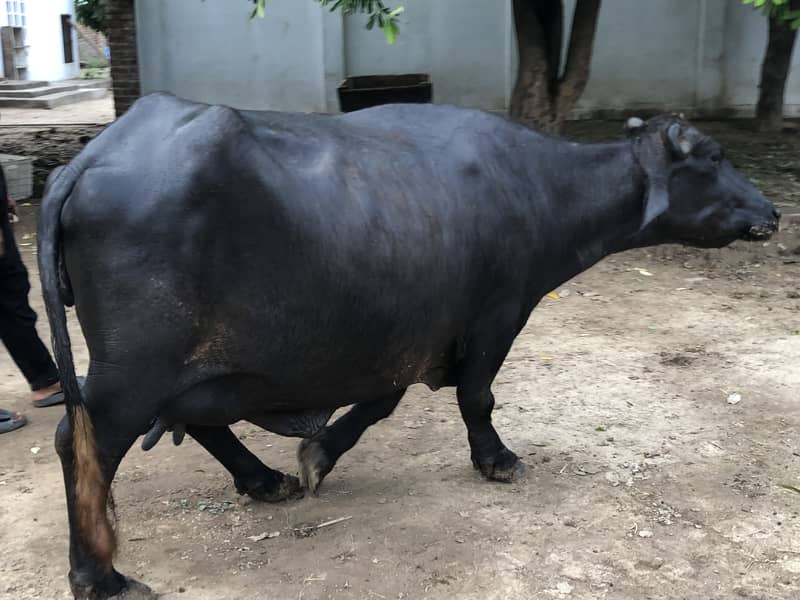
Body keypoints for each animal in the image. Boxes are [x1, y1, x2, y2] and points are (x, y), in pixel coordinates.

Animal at [38, 93, 779, 599]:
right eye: (713, 159)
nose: (771, 212)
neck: (539, 187)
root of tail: (91, 158)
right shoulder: (497, 316)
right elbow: (477, 396)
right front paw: (496, 459)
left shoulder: (412, 332)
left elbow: (381, 403)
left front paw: (318, 455)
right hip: (136, 366)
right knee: (86, 442)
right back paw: (100, 576)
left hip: (186, 365)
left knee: (192, 419)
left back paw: (265, 479)